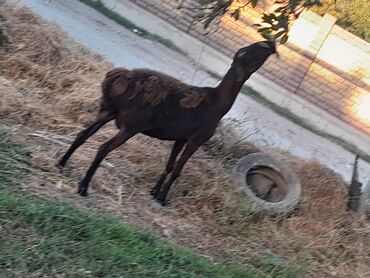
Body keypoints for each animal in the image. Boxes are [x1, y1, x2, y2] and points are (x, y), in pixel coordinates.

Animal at [58, 39, 274, 204]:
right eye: (249, 53)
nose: (270, 43)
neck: (219, 104)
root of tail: (115, 79)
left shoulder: (180, 137)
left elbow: (170, 165)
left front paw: (154, 192)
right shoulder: (198, 138)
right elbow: (178, 169)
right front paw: (162, 198)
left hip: (108, 109)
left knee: (83, 134)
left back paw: (61, 164)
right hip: (131, 123)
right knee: (104, 148)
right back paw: (83, 187)